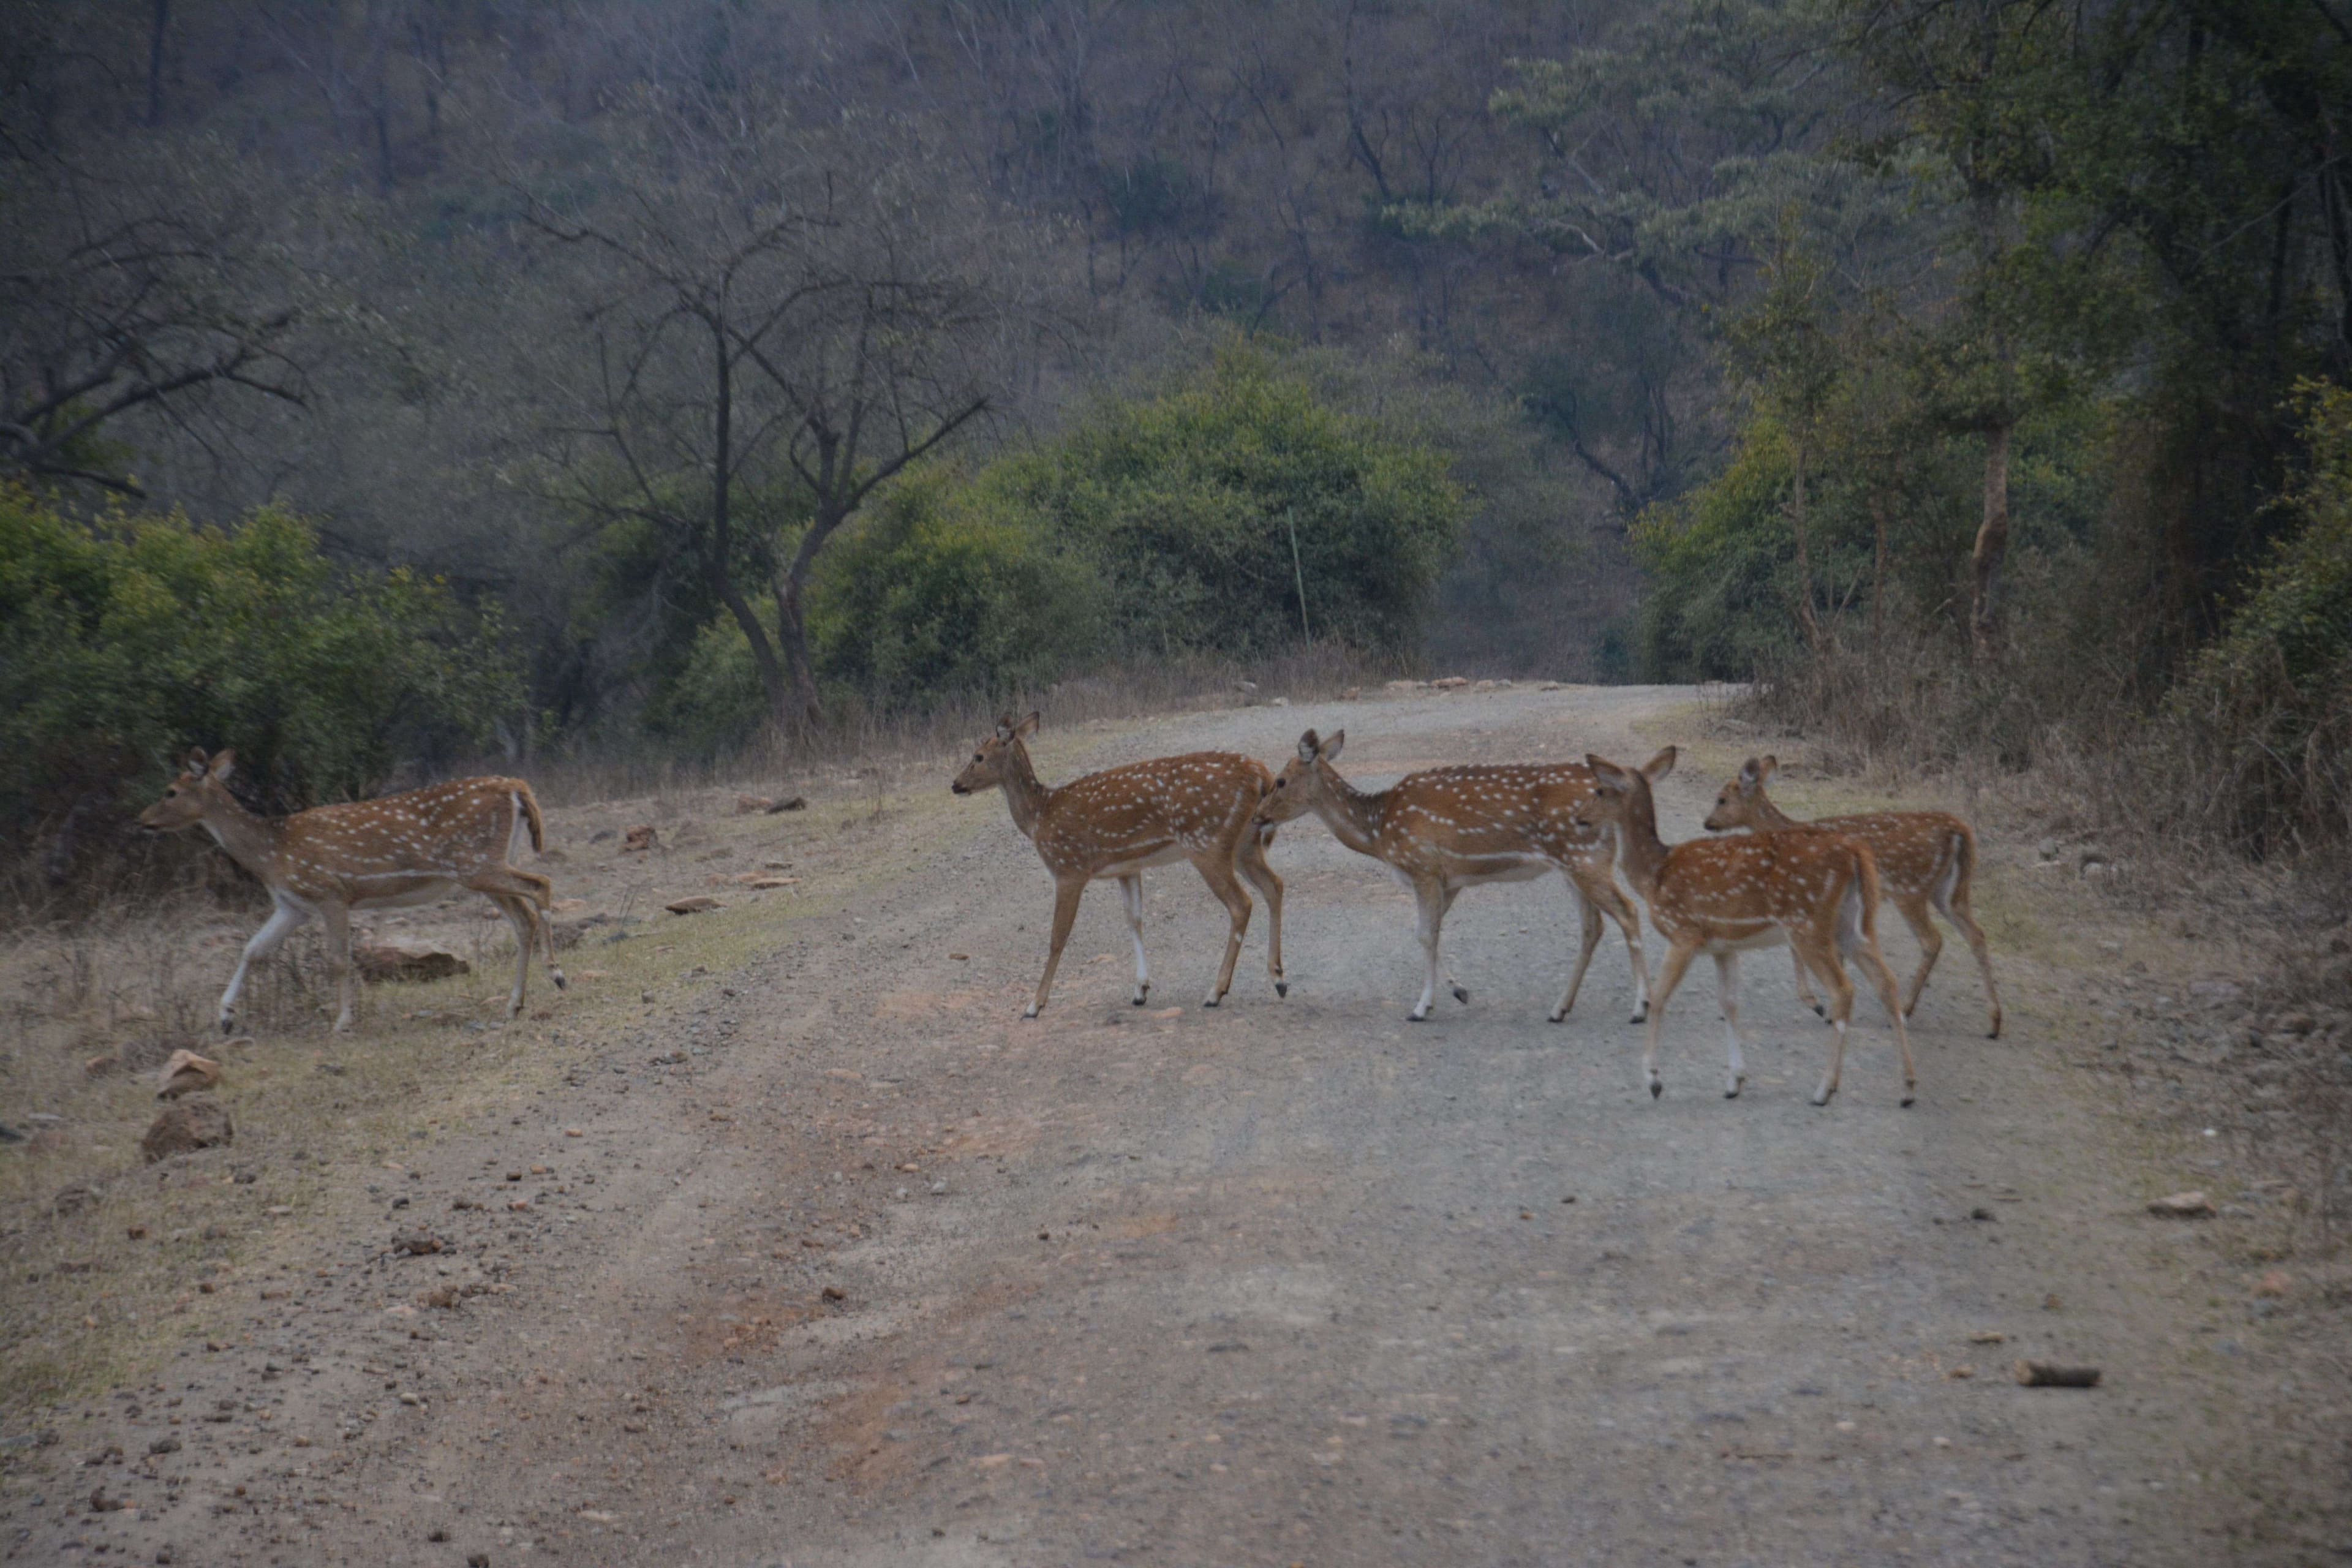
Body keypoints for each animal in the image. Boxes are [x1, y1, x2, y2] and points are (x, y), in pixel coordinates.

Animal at [140, 752, 567, 1034]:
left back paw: (557, 974)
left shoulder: (331, 892)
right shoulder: (293, 906)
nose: (143, 820)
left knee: (540, 885)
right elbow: (253, 949)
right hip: (481, 868)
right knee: (523, 918)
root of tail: (515, 786)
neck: (272, 853)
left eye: (171, 791)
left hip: (476, 863)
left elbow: (339, 961)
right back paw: (514, 1005)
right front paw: (226, 1016)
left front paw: (342, 1022)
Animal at [950, 714, 1289, 1020]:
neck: (1038, 817)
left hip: (1207, 842)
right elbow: (1134, 919)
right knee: (1274, 885)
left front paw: (1034, 1005)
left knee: (1241, 903)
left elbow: (1058, 937)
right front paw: (1140, 990)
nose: (955, 784)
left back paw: (1217, 992)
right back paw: (1278, 978)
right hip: (1245, 844)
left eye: (978, 756)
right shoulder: (1127, 868)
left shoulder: (1069, 868)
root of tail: (1260, 773)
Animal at [1251, 728, 1656, 1025]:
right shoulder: (1451, 879)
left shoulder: (1423, 866)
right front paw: (1457, 992)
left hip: (1585, 857)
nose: (1257, 816)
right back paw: (1560, 1009)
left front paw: (1420, 1008)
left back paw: (1640, 1007)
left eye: (1281, 781)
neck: (1380, 831)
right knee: (1593, 926)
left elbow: (1426, 935)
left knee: (1627, 912)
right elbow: (1428, 931)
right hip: (1574, 864)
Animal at [1580, 747, 1910, 1104]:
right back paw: (1907, 1088)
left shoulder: (1683, 932)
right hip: (1851, 925)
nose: (1580, 818)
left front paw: (1654, 1080)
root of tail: (1855, 853)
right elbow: (1729, 1004)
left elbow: (1659, 998)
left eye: (1600, 790)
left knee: (1843, 990)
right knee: (1886, 981)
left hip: (1808, 922)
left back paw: (1824, 1089)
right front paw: (1734, 1081)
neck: (1654, 875)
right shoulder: (1722, 946)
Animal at [1712, 761, 2003, 1044]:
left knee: (1932, 940)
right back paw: (1994, 1024)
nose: (1708, 823)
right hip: (1949, 891)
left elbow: (1801, 949)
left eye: (1722, 799)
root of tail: (1959, 830)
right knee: (1976, 935)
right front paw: (1829, 1009)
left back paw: (1904, 1011)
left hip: (1910, 888)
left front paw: (1820, 1007)